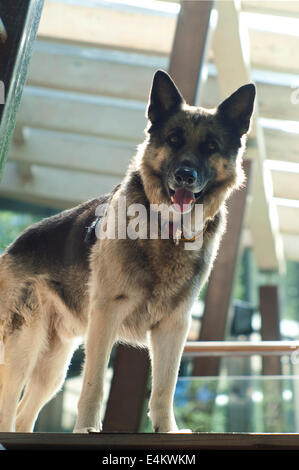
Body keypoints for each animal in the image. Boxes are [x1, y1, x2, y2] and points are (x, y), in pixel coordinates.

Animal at [0, 70, 255, 434]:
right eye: (174, 139)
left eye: (210, 147)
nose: (185, 176)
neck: (167, 231)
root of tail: (12, 247)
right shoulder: (106, 315)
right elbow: (94, 383)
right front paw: (86, 429)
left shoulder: (173, 326)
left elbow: (164, 387)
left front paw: (167, 431)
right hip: (24, 349)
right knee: (8, 408)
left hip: (53, 367)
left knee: (22, 416)